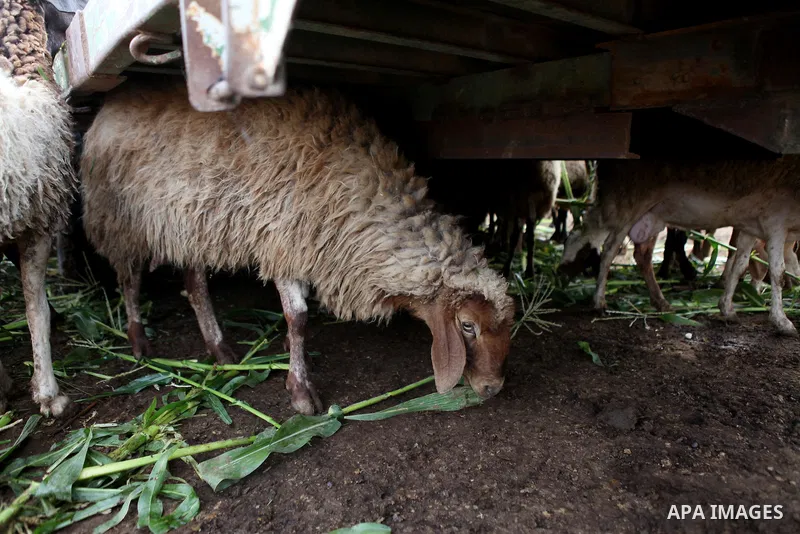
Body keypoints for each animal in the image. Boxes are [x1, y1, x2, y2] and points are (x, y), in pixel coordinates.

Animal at [80, 80, 516, 415]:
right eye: (467, 326)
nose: (494, 388)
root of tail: (108, 106)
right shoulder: (286, 241)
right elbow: (299, 318)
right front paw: (301, 391)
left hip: (193, 225)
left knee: (195, 285)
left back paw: (220, 348)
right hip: (120, 220)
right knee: (130, 280)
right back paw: (139, 340)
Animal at [559, 157, 800, 335]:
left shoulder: (751, 227)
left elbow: (738, 266)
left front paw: (727, 308)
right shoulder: (775, 222)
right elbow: (777, 272)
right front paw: (782, 321)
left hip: (646, 213)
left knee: (635, 252)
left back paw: (661, 303)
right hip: (628, 200)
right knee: (606, 247)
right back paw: (597, 299)